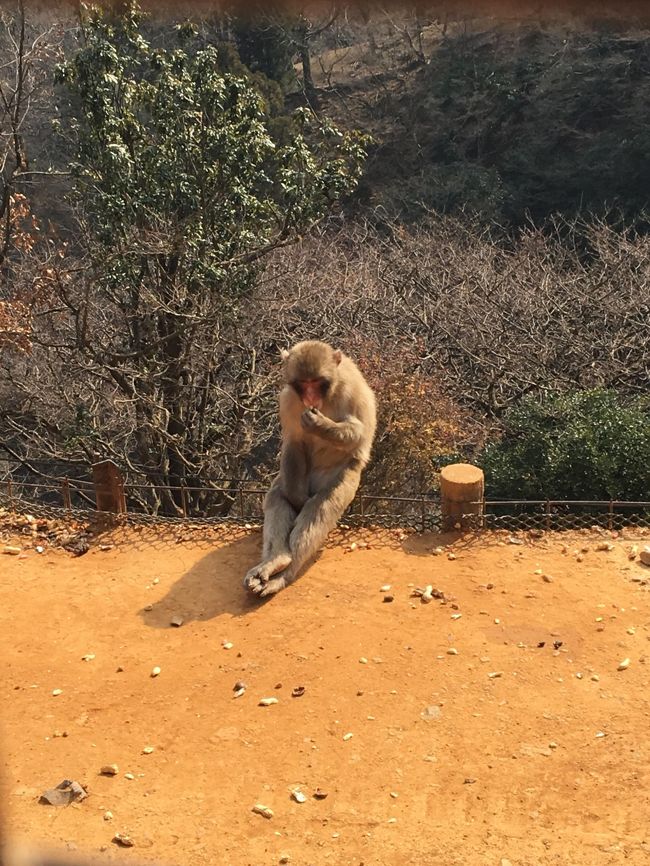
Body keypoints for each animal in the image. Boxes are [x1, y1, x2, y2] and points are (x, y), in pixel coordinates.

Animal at [243, 340, 374, 596]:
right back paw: (275, 560)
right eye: (303, 384)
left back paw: (283, 572)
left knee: (320, 507)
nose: (311, 397)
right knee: (278, 494)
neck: (329, 394)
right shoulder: (288, 401)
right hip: (298, 477)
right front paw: (295, 499)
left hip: (341, 478)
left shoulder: (352, 389)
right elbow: (294, 442)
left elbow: (359, 432)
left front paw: (320, 424)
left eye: (317, 382)